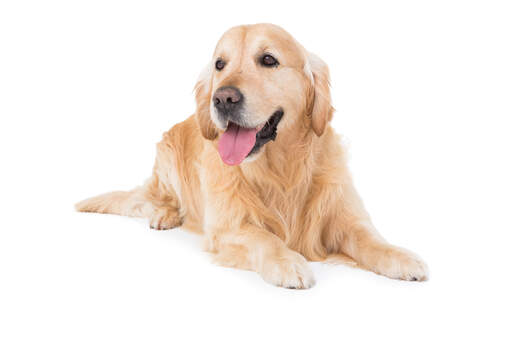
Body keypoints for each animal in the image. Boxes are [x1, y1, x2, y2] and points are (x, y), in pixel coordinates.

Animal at [76, 22, 428, 286]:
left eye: (268, 59)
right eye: (220, 64)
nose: (222, 99)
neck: (281, 168)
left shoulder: (342, 214)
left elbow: (369, 238)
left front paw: (401, 256)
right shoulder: (226, 226)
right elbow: (264, 238)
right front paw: (288, 262)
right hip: (166, 160)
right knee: (152, 199)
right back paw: (165, 214)